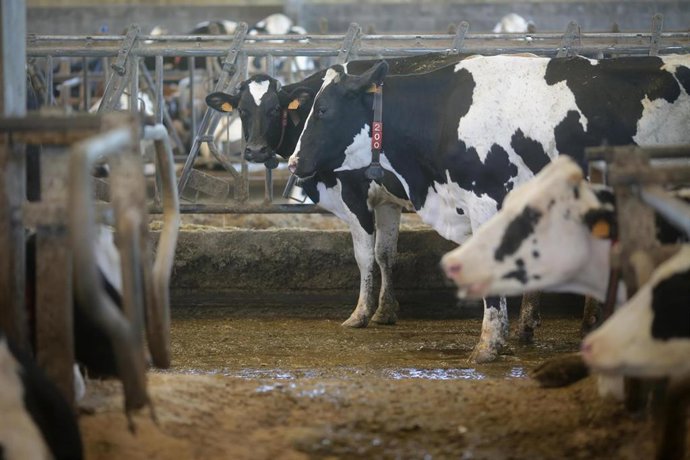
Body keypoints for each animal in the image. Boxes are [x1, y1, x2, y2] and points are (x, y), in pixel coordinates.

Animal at [205, 53, 472, 331]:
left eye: (275, 109)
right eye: (242, 110)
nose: (255, 150)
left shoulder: (354, 193)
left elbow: (364, 255)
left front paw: (360, 313)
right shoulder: (386, 200)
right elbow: (385, 253)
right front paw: (385, 310)